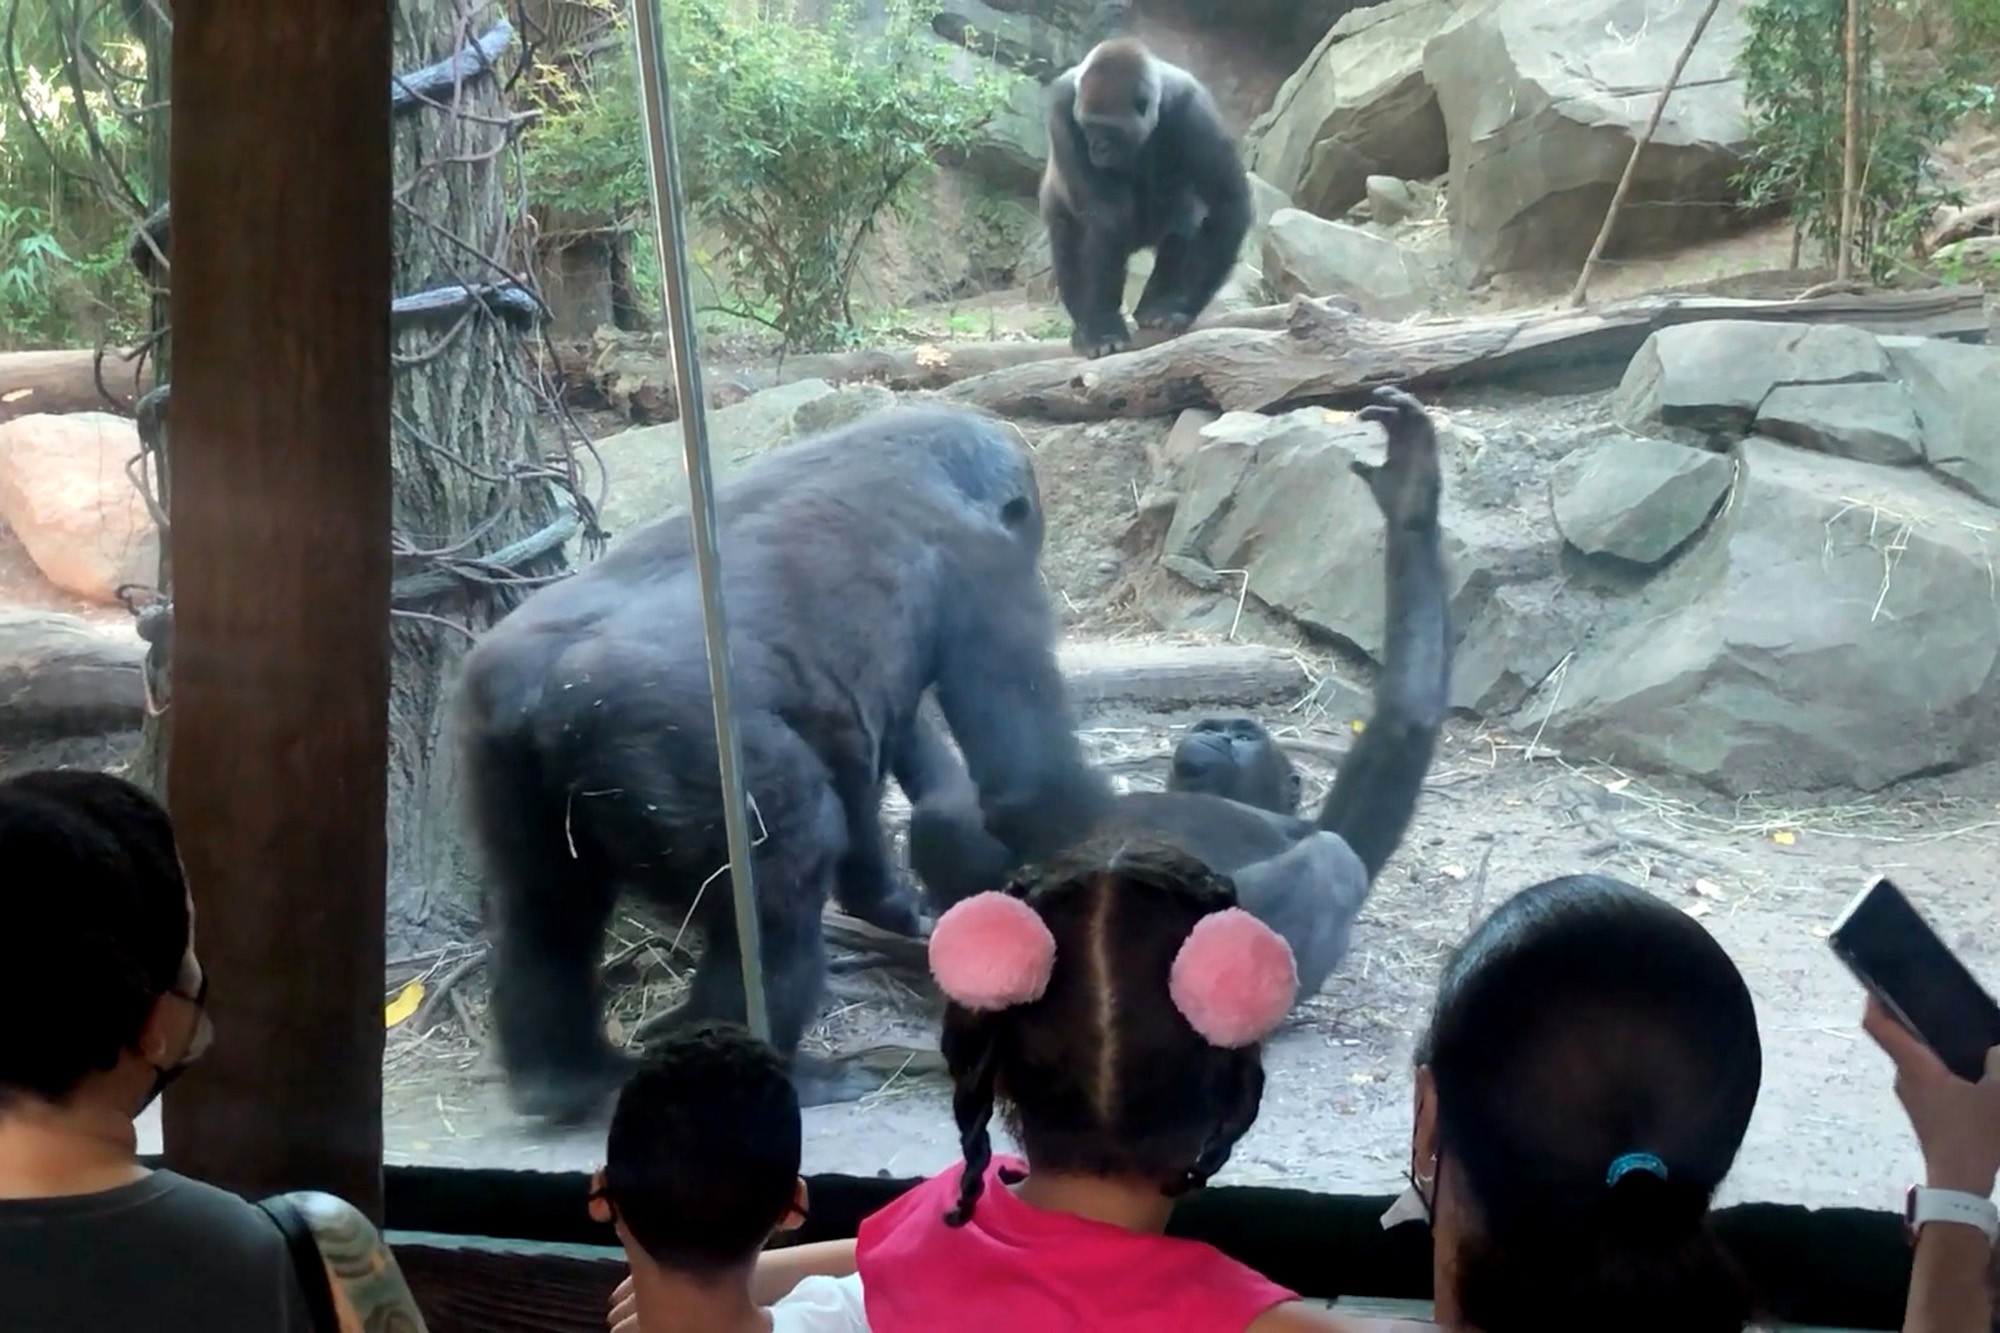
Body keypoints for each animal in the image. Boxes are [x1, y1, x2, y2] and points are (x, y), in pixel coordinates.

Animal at [458, 404, 1112, 1120]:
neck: (918, 455)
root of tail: (543, 690)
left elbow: (892, 759)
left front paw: (895, 903)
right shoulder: (985, 567)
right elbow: (1029, 782)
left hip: (498, 749)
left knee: (543, 908)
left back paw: (562, 1075)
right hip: (673, 749)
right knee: (787, 872)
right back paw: (758, 1070)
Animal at [912, 384, 1456, 996]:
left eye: (1244, 735)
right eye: (1214, 726)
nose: (1217, 732)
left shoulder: (1325, 822)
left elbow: (1402, 728)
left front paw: (1414, 502)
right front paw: (1410, 498)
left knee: (1328, 864)